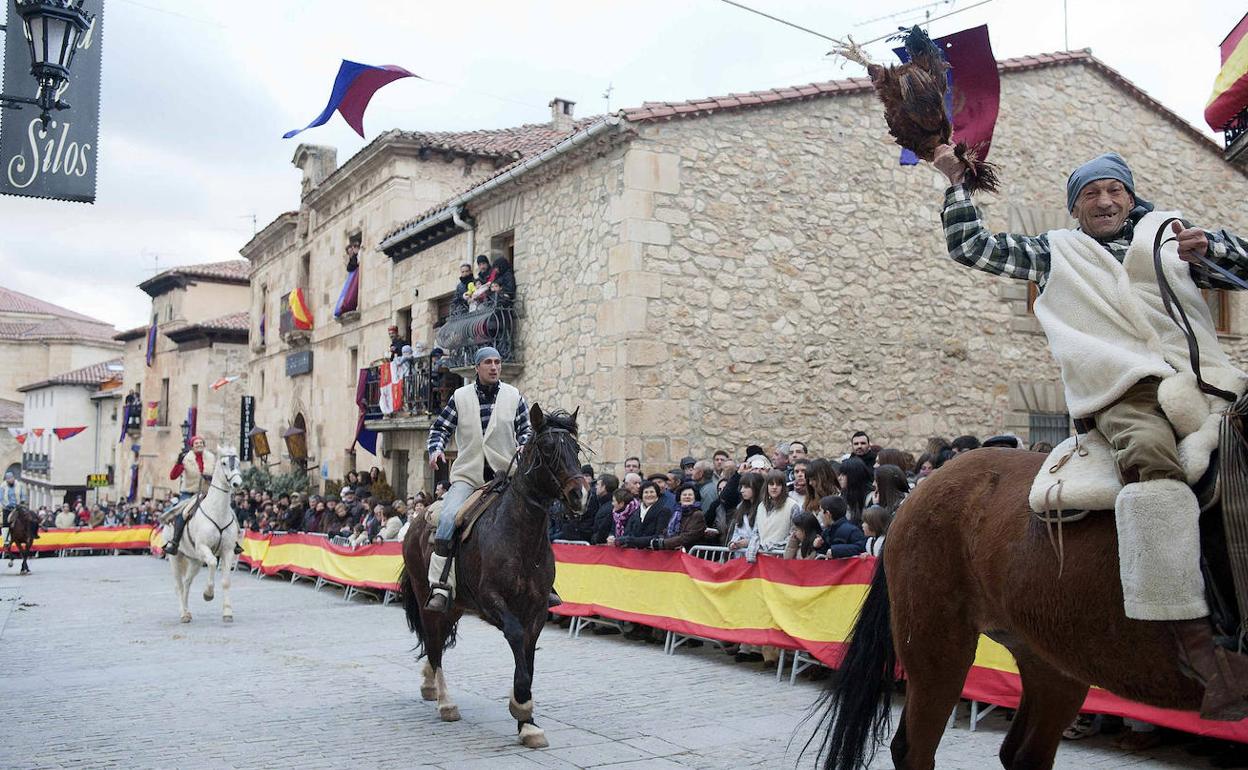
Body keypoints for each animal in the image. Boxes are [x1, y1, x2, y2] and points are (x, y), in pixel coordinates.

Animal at [165, 446, 243, 621]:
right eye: (224, 463)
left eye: (238, 462)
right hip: (176, 557)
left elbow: (226, 581)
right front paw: (208, 594)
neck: (217, 512)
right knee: (179, 585)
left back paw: (187, 611)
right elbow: (213, 562)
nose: (237, 483)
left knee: (187, 583)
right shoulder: (203, 548)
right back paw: (183, 614)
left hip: (195, 560)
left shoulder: (228, 551)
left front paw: (227, 612)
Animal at [401, 404, 591, 748]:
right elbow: (516, 639)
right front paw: (521, 708)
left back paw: (429, 685)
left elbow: (528, 656)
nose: (580, 494)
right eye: (547, 448)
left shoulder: (537, 609)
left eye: (575, 448)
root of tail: (418, 518)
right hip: (428, 599)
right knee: (434, 643)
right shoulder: (493, 601)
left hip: (456, 605)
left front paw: (528, 722)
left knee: (438, 641)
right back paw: (445, 701)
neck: (519, 536)